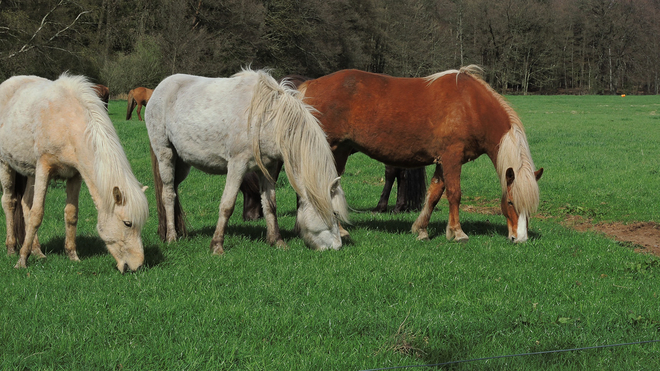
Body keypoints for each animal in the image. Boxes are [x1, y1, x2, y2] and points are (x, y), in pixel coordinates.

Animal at [0, 74, 149, 272]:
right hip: (6, 164)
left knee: (26, 204)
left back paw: (37, 251)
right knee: (9, 202)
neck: (68, 123)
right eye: (127, 223)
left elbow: (71, 214)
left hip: (30, 171)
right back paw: (11, 248)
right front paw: (22, 259)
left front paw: (72, 255)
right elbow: (37, 215)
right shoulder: (44, 168)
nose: (138, 265)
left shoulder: (75, 175)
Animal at [145, 68, 350, 254]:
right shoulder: (237, 166)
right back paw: (172, 237)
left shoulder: (268, 168)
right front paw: (217, 246)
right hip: (165, 154)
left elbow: (270, 205)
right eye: (334, 213)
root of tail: (159, 88)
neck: (267, 119)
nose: (337, 247)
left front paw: (277, 241)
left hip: (182, 163)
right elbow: (227, 206)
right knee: (168, 194)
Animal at [302, 67, 544, 244]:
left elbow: (435, 194)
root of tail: (310, 85)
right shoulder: (452, 157)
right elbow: (454, 193)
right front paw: (457, 232)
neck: (471, 106)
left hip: (341, 150)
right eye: (510, 202)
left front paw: (421, 229)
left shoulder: (443, 160)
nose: (520, 238)